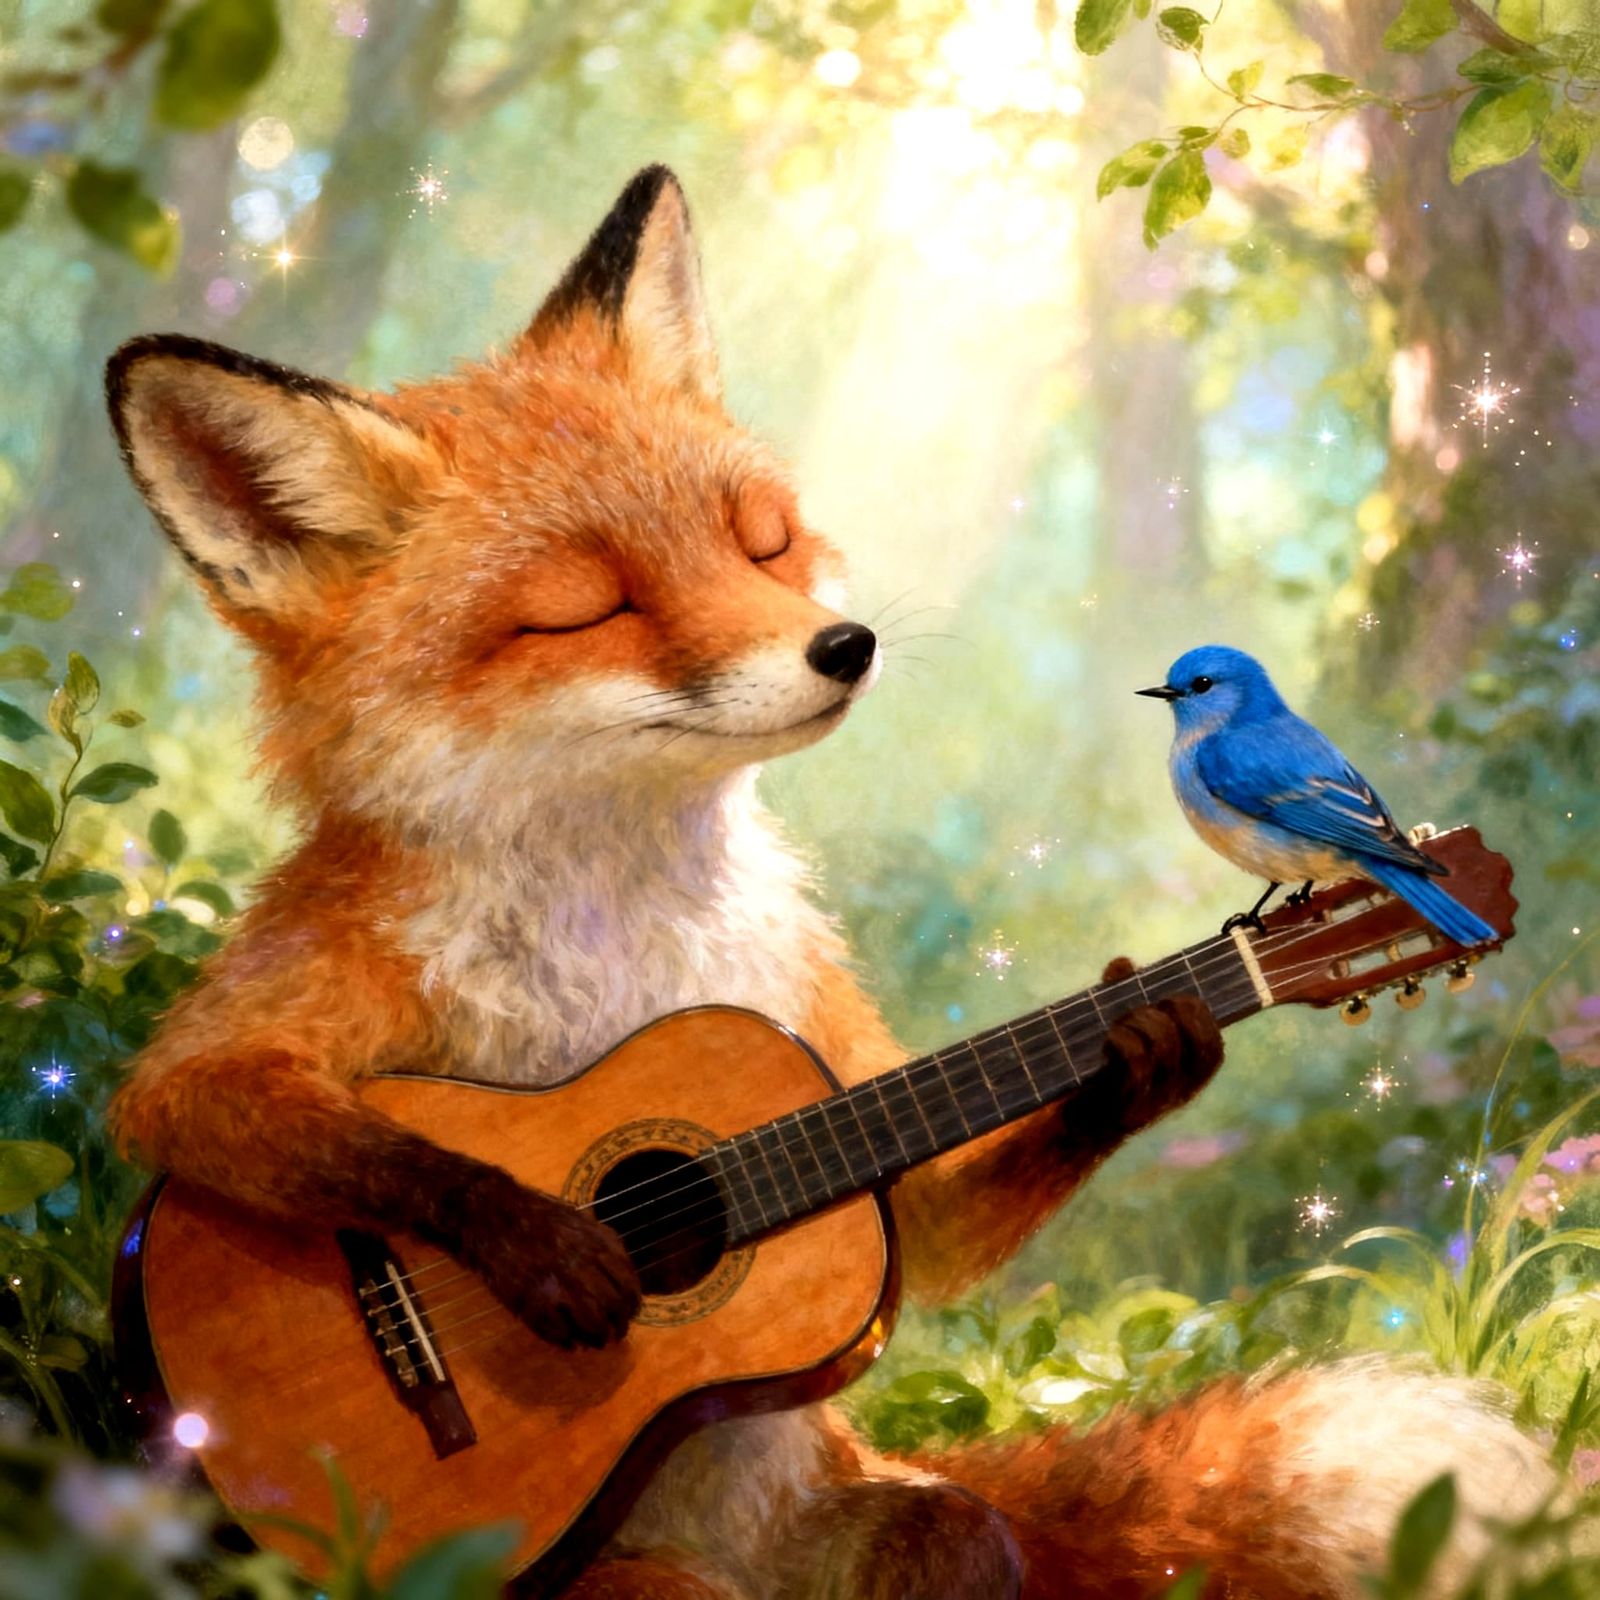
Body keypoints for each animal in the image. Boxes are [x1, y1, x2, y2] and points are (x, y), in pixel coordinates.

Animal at [105, 166, 1555, 1599]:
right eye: (586, 608)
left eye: (760, 542)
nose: (845, 645)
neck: (620, 909)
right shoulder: (311, 972)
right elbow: (195, 1089)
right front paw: (543, 1241)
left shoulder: (824, 1035)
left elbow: (942, 1224)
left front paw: (1150, 1047)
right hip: (625, 1583)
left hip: (912, 1530)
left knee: (965, 1537)